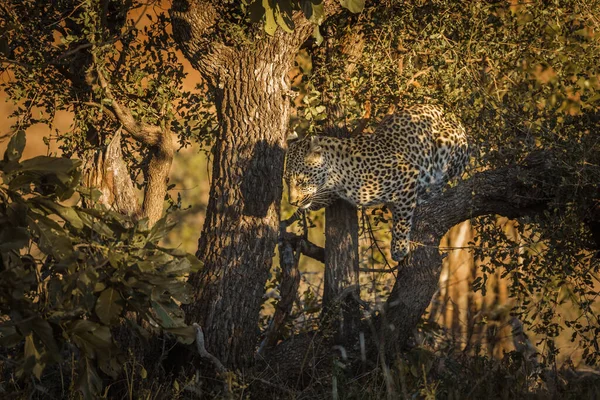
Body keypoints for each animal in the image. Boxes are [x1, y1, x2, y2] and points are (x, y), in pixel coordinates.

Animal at [284, 104, 468, 262]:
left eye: (301, 181)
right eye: (286, 181)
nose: (292, 202)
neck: (338, 176)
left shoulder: (408, 174)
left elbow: (402, 219)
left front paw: (399, 249)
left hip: (446, 147)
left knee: (440, 181)